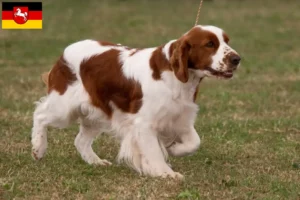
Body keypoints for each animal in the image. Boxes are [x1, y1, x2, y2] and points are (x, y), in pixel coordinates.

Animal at [31, 25, 240, 178]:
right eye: (210, 44)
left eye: (227, 41)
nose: (237, 59)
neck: (176, 77)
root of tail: (64, 52)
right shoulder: (144, 123)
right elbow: (154, 152)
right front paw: (166, 173)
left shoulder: (180, 117)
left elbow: (194, 142)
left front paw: (173, 149)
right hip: (64, 107)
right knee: (40, 114)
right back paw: (38, 148)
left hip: (98, 112)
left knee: (80, 140)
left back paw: (96, 161)